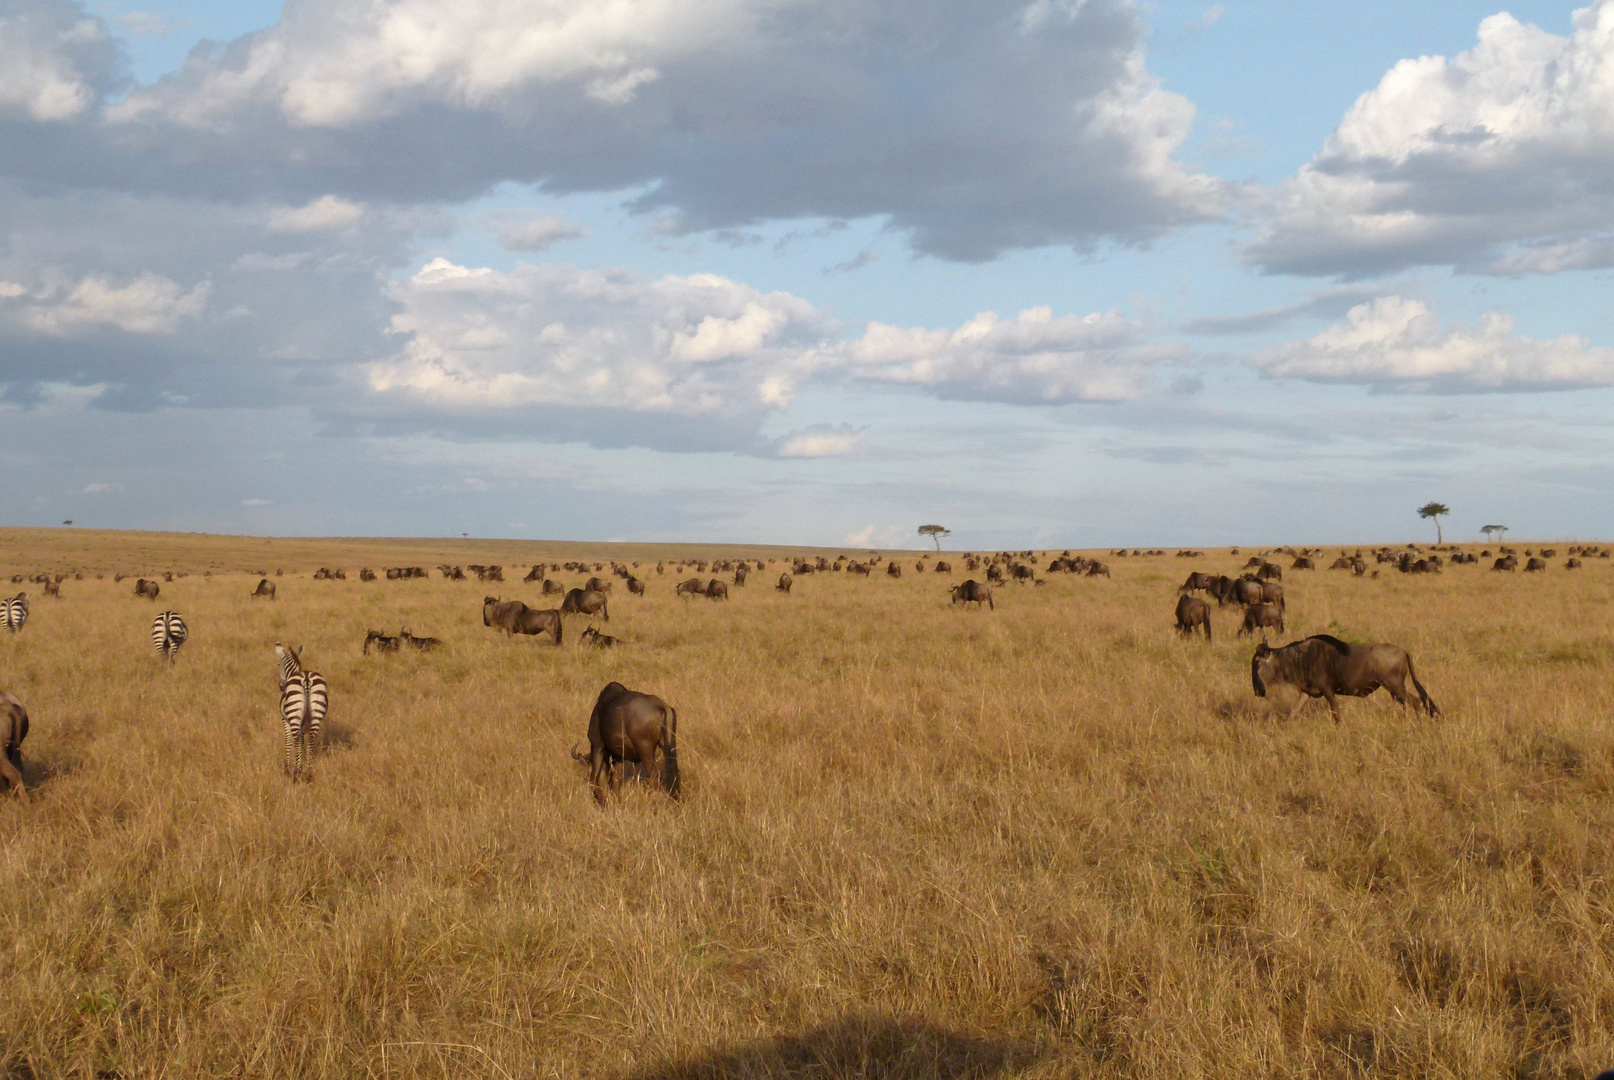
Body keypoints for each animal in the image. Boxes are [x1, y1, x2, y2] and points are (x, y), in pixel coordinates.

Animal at [1246, 632, 1439, 723]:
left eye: (1256, 662)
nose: (1257, 691)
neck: (1300, 658)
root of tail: (1403, 651)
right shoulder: (1307, 693)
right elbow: (1292, 714)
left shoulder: (1328, 691)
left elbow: (1336, 715)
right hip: (1395, 691)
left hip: (1395, 687)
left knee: (1416, 702)